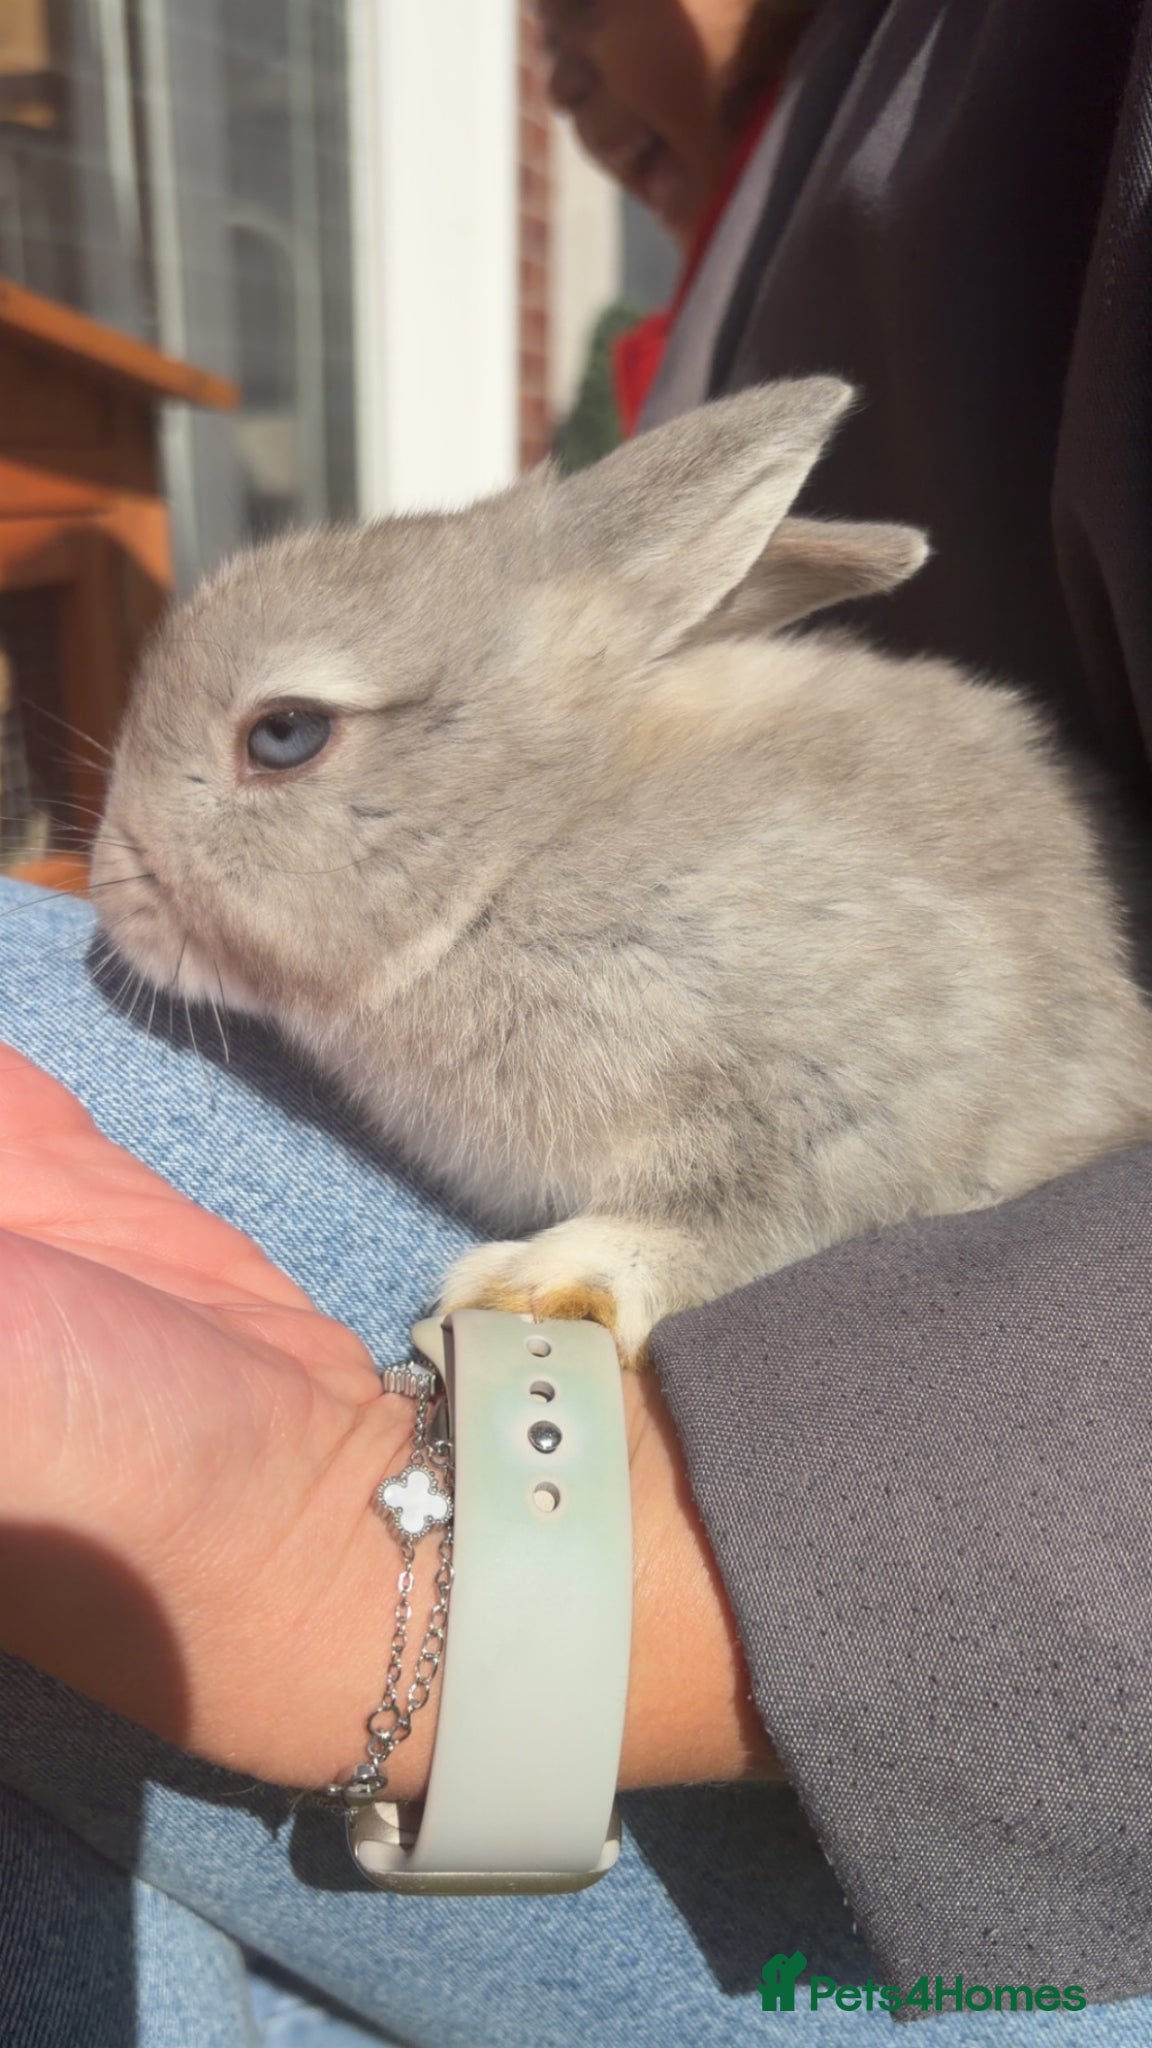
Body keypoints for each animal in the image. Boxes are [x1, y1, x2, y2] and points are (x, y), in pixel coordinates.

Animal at [91, 378, 1152, 1366]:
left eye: (285, 734)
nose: (110, 890)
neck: (517, 850)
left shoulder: (857, 1090)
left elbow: (740, 1216)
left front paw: (541, 1281)